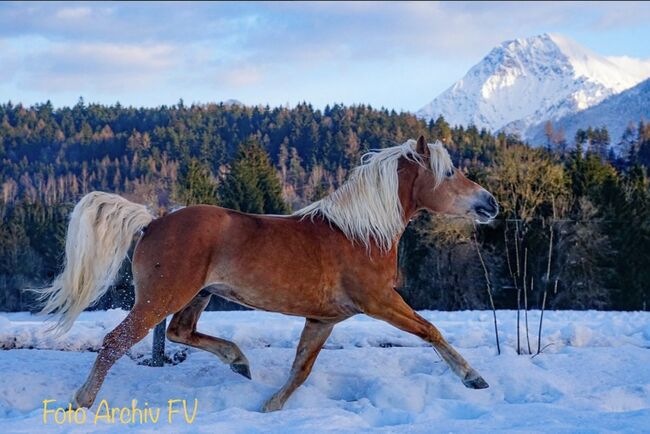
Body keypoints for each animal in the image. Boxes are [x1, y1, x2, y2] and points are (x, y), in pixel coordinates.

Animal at [36, 137, 496, 412]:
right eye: (449, 172)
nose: (489, 202)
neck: (361, 234)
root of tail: (152, 222)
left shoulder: (324, 318)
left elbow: (301, 369)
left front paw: (269, 408)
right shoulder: (380, 302)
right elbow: (431, 330)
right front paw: (474, 379)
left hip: (198, 295)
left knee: (181, 332)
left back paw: (239, 362)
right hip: (161, 297)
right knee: (116, 341)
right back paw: (81, 403)